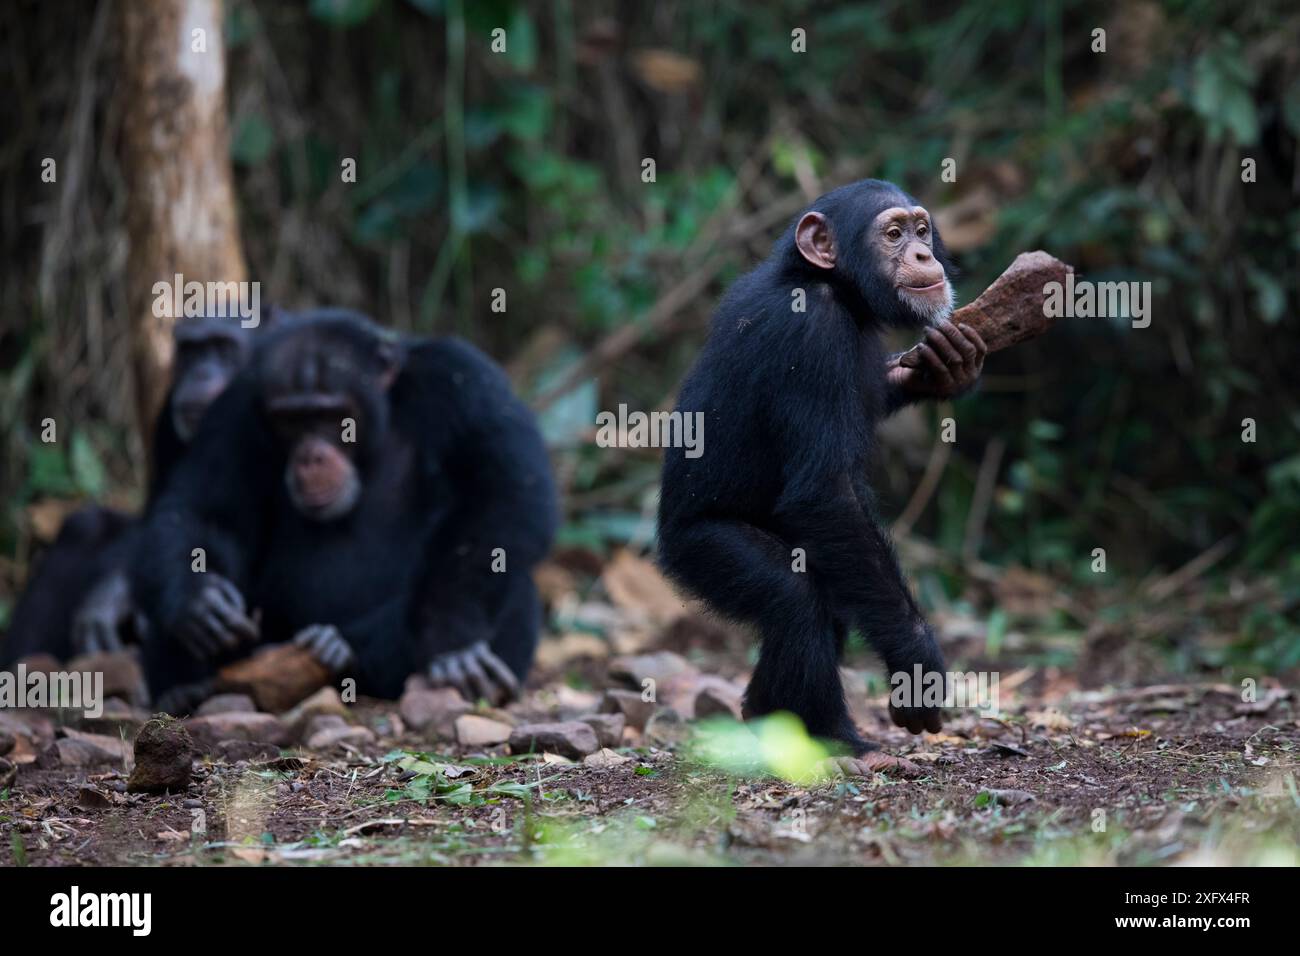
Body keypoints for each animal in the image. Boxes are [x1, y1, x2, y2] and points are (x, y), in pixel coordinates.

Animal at [0, 308, 274, 665]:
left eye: (223, 348)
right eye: (190, 352)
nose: (200, 372)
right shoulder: (165, 420)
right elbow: (162, 513)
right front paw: (112, 596)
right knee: (85, 527)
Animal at [134, 314, 556, 712]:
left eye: (333, 416)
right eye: (290, 420)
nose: (310, 456)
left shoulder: (461, 378)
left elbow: (502, 487)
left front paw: (450, 640)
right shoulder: (236, 405)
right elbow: (205, 508)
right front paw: (200, 600)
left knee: (509, 571)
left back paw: (339, 648)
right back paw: (186, 690)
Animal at [660, 179, 982, 759]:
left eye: (922, 230)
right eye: (893, 234)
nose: (924, 254)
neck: (834, 286)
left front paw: (947, 365)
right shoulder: (812, 332)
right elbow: (825, 492)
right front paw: (917, 662)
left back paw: (765, 716)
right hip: (697, 549)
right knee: (793, 597)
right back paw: (829, 736)